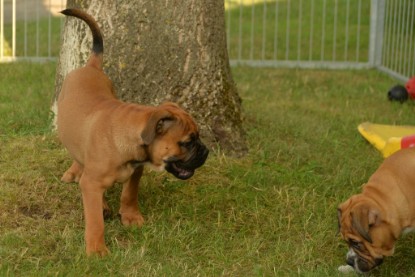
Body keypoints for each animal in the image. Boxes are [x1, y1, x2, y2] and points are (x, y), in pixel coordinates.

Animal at [57, 9, 208, 254]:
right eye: (187, 142)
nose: (205, 151)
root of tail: (90, 66)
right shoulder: (91, 183)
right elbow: (95, 219)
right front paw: (97, 249)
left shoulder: (136, 171)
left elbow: (129, 194)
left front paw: (130, 216)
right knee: (77, 158)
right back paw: (76, 175)